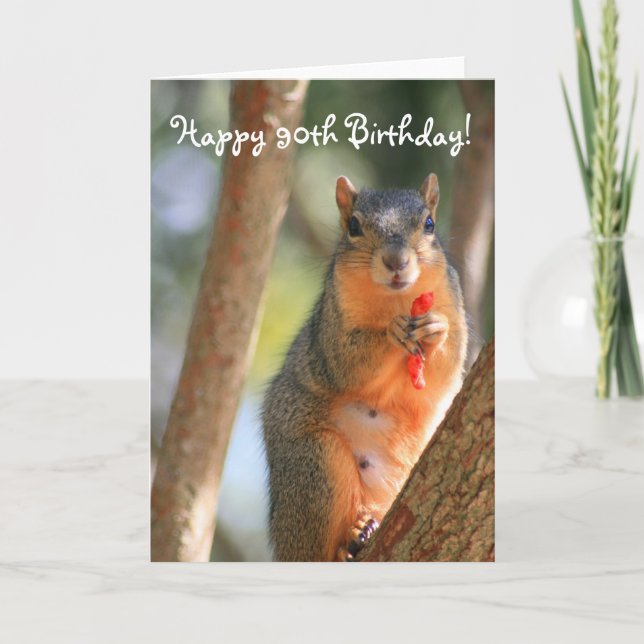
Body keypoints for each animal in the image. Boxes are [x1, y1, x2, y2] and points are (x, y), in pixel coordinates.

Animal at [262, 173, 468, 561]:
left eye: (429, 224)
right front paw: (391, 332)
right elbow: (346, 362)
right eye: (354, 226)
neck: (397, 300)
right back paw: (352, 539)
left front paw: (436, 330)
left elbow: (445, 373)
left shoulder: (452, 300)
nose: (396, 261)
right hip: (315, 465)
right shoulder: (330, 329)